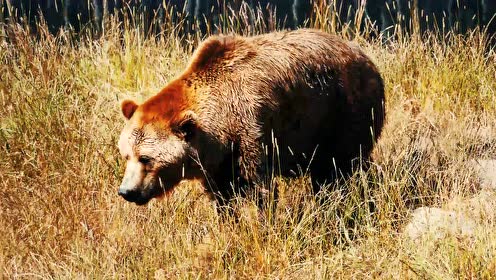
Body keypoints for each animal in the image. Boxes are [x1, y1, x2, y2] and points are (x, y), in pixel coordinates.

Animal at [118, 29, 386, 206]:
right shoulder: (218, 160)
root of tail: (367, 58)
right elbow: (222, 195)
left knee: (342, 168)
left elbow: (260, 187)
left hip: (344, 112)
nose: (126, 191)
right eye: (126, 155)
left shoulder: (252, 129)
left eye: (146, 158)